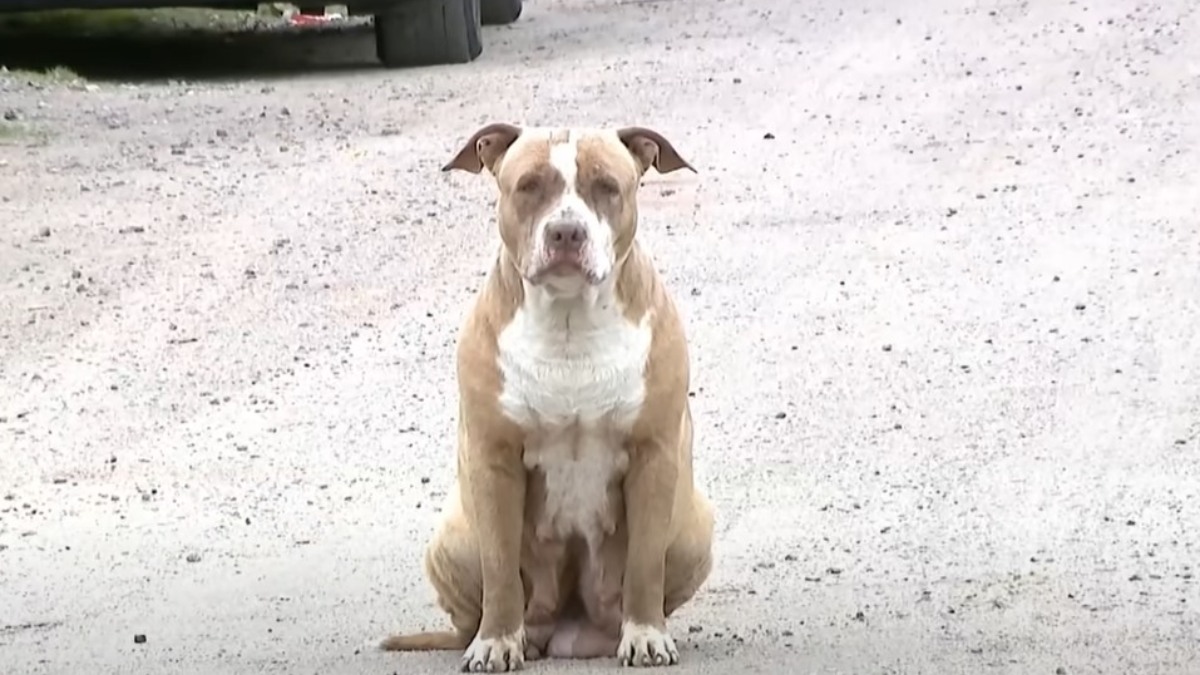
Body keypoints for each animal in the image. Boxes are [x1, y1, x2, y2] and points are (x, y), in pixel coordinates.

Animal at [379, 123, 710, 667]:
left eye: (607, 186)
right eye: (529, 185)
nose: (566, 233)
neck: (569, 321)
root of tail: (565, 631)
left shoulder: (655, 454)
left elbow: (645, 563)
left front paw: (645, 635)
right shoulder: (492, 460)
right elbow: (499, 567)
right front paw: (496, 642)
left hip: (695, 529)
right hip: (451, 535)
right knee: (471, 613)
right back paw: (494, 637)